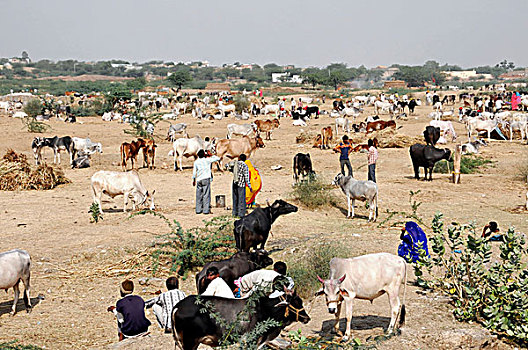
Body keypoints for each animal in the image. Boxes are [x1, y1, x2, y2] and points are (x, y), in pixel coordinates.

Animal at [173, 292, 310, 350]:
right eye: (295, 303)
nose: (307, 318)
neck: (265, 308)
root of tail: (178, 306)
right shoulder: (252, 339)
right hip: (190, 342)